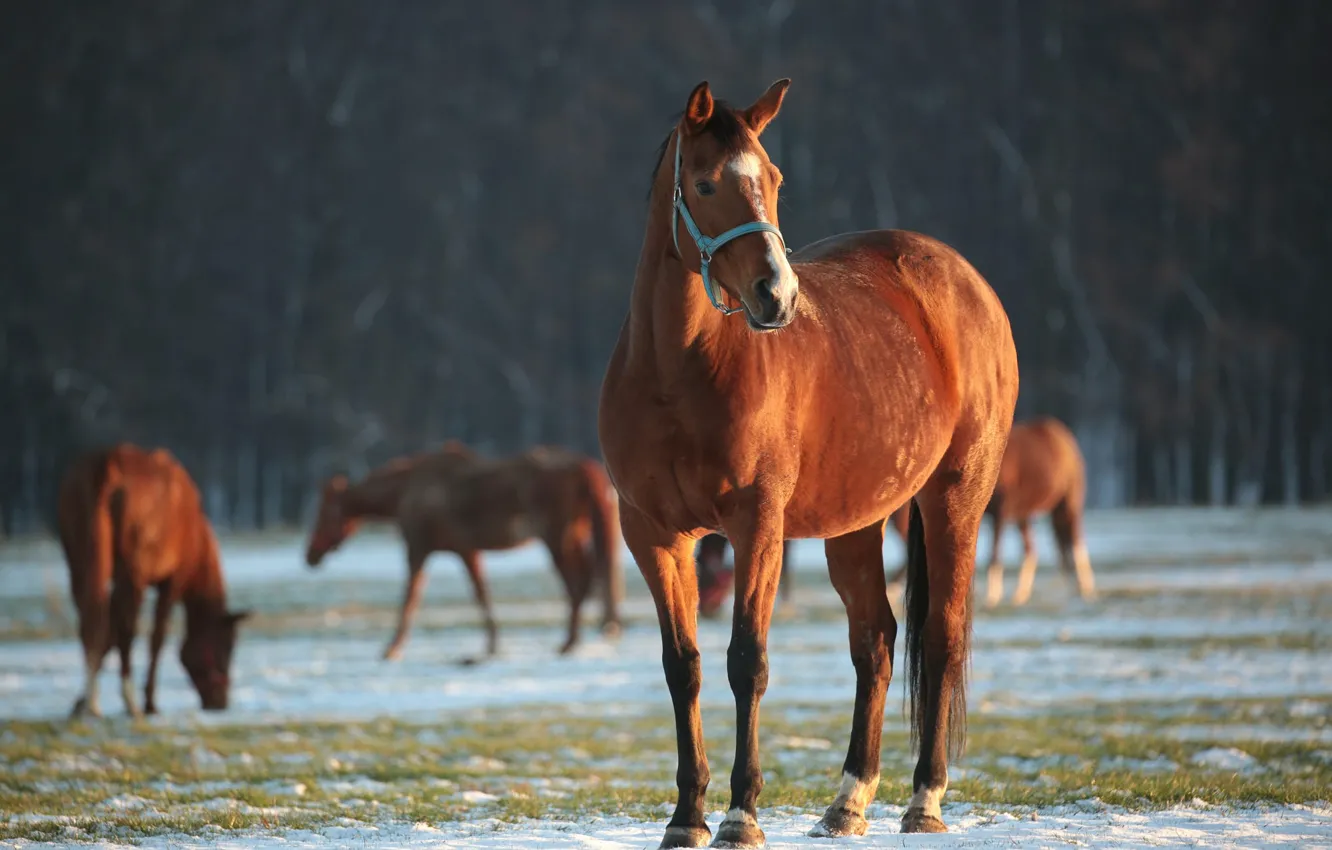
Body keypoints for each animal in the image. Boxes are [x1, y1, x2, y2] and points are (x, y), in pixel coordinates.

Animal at [57, 444, 249, 718]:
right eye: (227, 647)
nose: (219, 703)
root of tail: (107, 465)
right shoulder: (172, 582)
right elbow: (156, 637)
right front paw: (150, 702)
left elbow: (108, 634)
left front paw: (80, 701)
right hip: (132, 574)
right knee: (125, 629)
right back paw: (131, 701)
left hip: (80, 564)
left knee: (91, 620)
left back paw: (93, 702)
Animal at [305, 442, 623, 661]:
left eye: (324, 513)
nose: (310, 556)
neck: (404, 492)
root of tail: (583, 467)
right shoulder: (467, 550)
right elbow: (481, 593)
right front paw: (491, 645)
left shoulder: (420, 548)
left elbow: (410, 596)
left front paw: (392, 648)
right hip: (576, 534)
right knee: (590, 578)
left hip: (557, 538)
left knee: (578, 584)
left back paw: (569, 642)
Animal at [981, 416, 1096, 607]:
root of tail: (1065, 438)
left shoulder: (1000, 513)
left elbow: (994, 556)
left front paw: (992, 599)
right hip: (1025, 515)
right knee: (1033, 550)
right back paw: (1020, 596)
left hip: (1069, 505)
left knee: (1076, 543)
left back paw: (1085, 590)